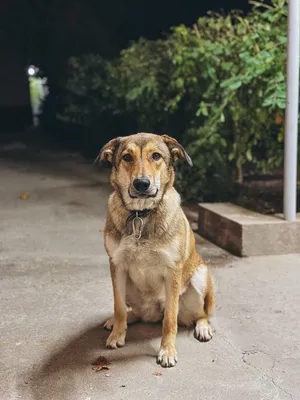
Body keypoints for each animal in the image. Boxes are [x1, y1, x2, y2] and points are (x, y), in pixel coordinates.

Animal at [99, 133, 214, 368]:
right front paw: (117, 334)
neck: (140, 214)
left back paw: (203, 327)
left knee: (200, 313)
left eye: (156, 156)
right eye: (126, 157)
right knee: (133, 312)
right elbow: (118, 307)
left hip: (200, 276)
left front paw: (167, 351)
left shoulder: (172, 271)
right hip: (128, 288)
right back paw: (118, 321)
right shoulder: (117, 265)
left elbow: (170, 319)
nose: (142, 184)